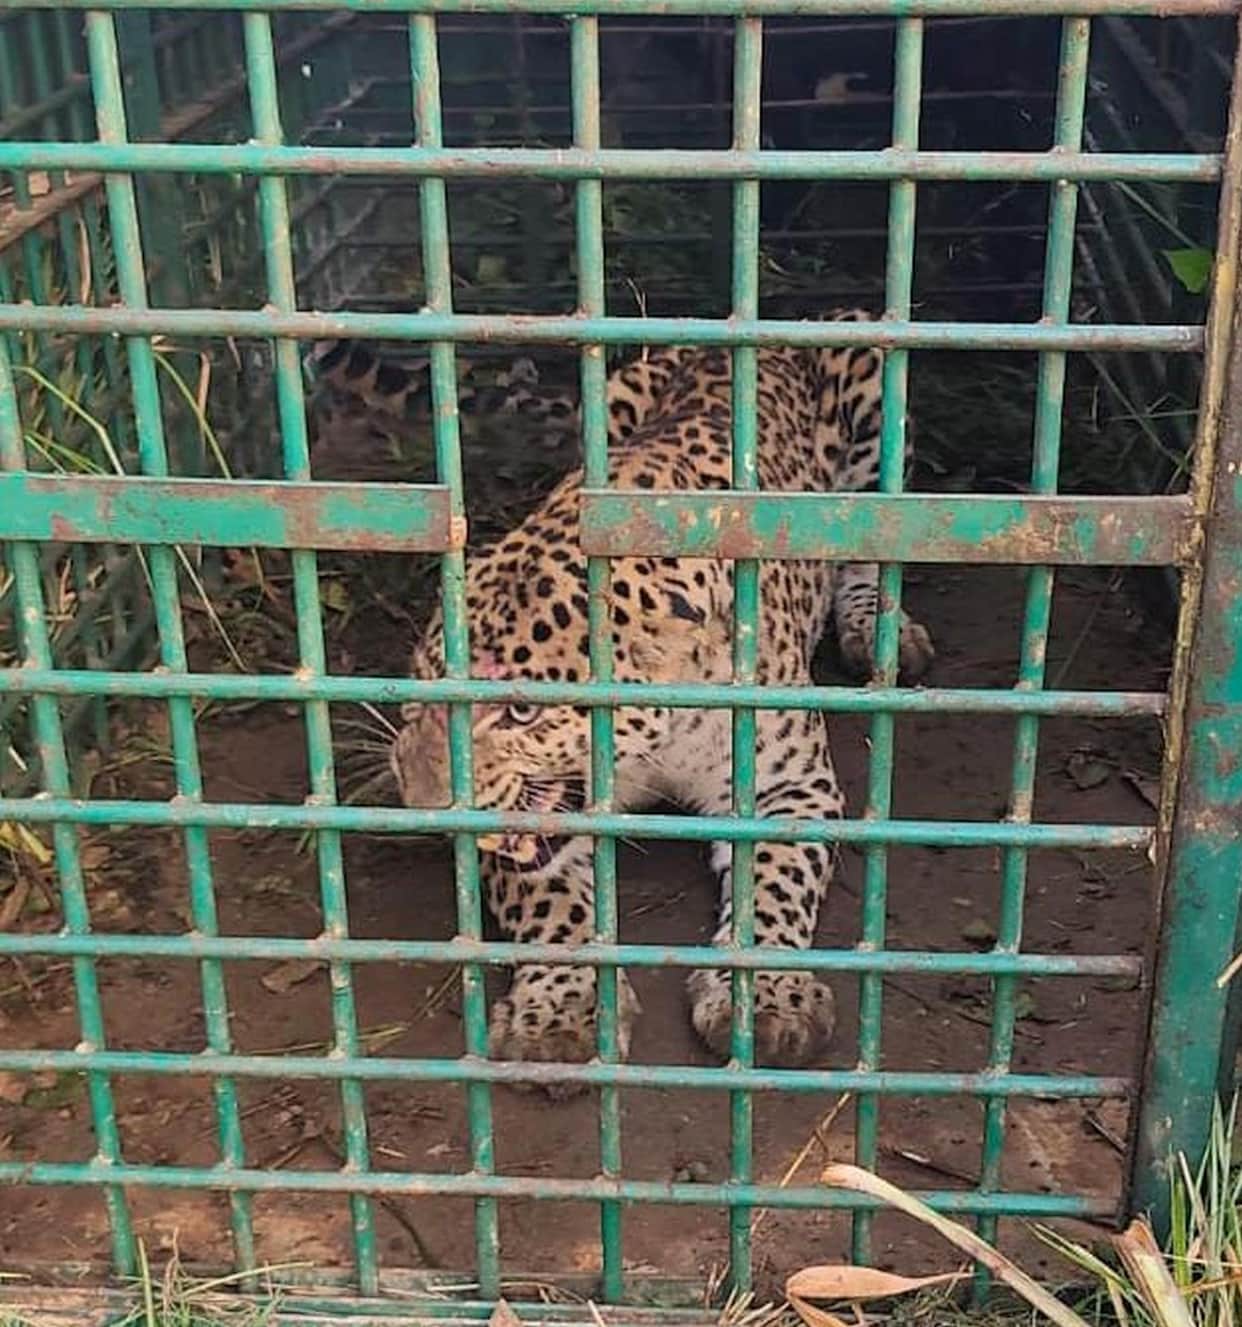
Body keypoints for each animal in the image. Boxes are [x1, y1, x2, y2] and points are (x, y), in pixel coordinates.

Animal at [380, 310, 935, 1089]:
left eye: (522, 709)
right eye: (425, 674)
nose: (427, 805)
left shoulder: (791, 786)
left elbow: (773, 885)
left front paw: (769, 997)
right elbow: (551, 901)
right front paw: (558, 1010)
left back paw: (879, 633)